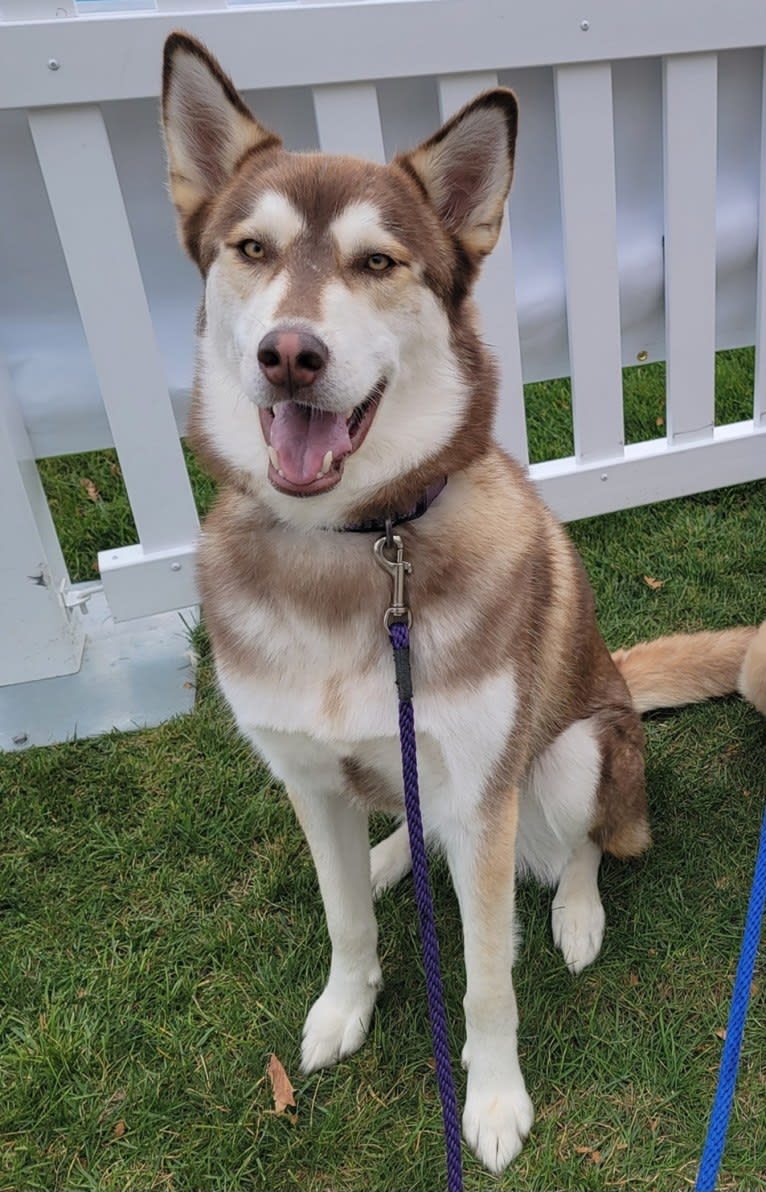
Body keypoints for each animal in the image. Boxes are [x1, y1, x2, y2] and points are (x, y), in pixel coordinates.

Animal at [160, 37, 762, 1172]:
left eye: (378, 264)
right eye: (251, 249)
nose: (289, 354)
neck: (359, 544)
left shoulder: (487, 796)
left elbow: (486, 983)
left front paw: (489, 1101)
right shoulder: (306, 775)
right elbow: (345, 921)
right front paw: (345, 1006)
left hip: (577, 752)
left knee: (582, 844)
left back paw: (576, 912)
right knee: (406, 823)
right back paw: (394, 852)